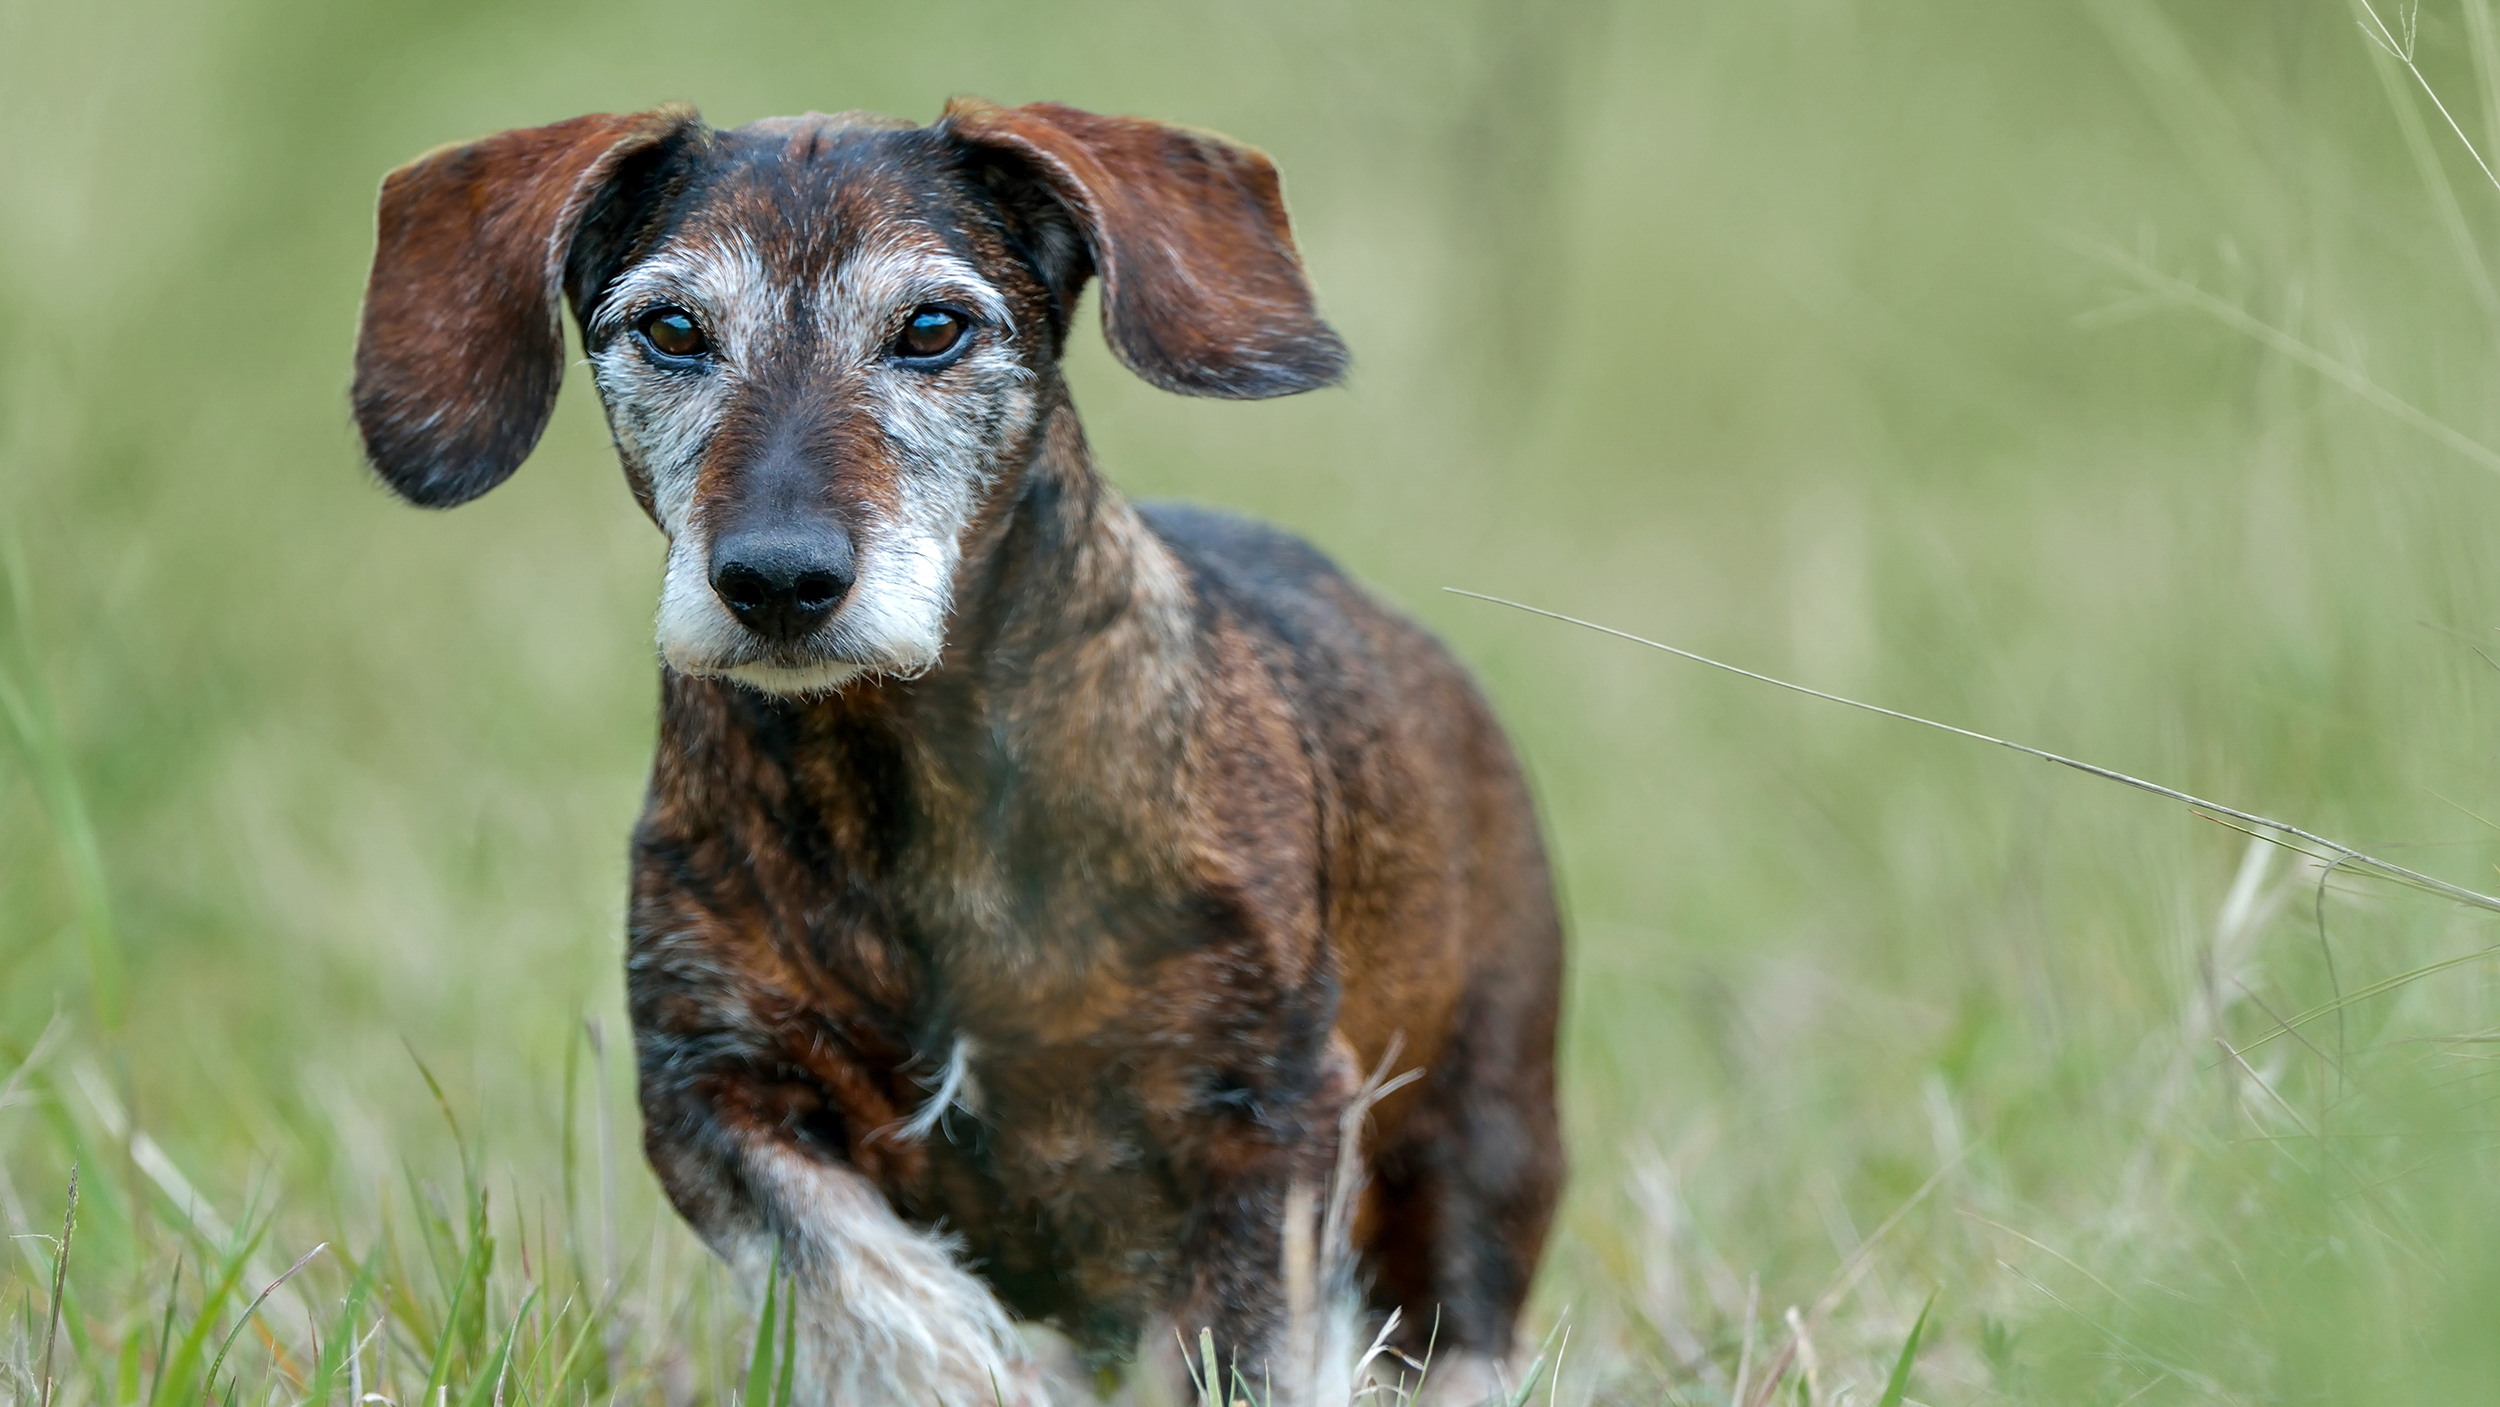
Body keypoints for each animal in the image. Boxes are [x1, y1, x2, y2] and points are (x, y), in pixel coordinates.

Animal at [352, 101, 1560, 1407]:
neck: (914, 774)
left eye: (932, 327)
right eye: (671, 328)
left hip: (1474, 1145)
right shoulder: (712, 1086)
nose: (778, 580)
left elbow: (1239, 1349)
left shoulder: (1267, 1110)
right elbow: (860, 1281)